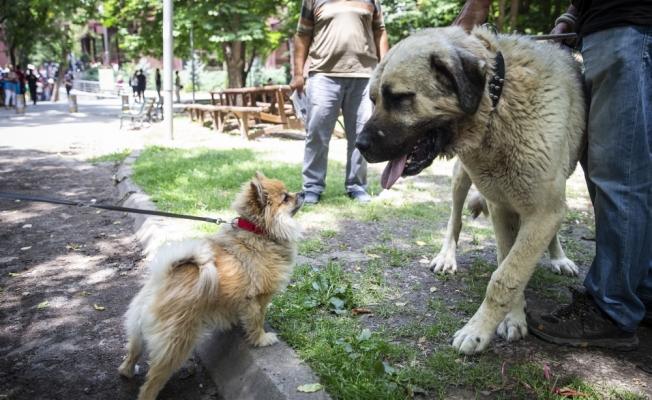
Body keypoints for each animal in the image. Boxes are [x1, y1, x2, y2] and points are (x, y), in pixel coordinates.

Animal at [118, 172, 306, 400]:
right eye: (286, 198)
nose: (304, 192)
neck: (258, 231)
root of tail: (161, 281)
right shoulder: (258, 299)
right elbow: (257, 321)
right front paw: (262, 339)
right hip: (176, 344)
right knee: (152, 383)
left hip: (139, 331)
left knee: (132, 354)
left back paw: (127, 371)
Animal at [354, 26, 588, 354]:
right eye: (373, 99)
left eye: (399, 98)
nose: (358, 145)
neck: (497, 102)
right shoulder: (501, 206)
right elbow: (507, 263)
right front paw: (509, 318)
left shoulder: (544, 209)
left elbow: (508, 274)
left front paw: (479, 330)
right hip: (460, 178)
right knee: (455, 218)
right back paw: (447, 256)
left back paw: (557, 257)